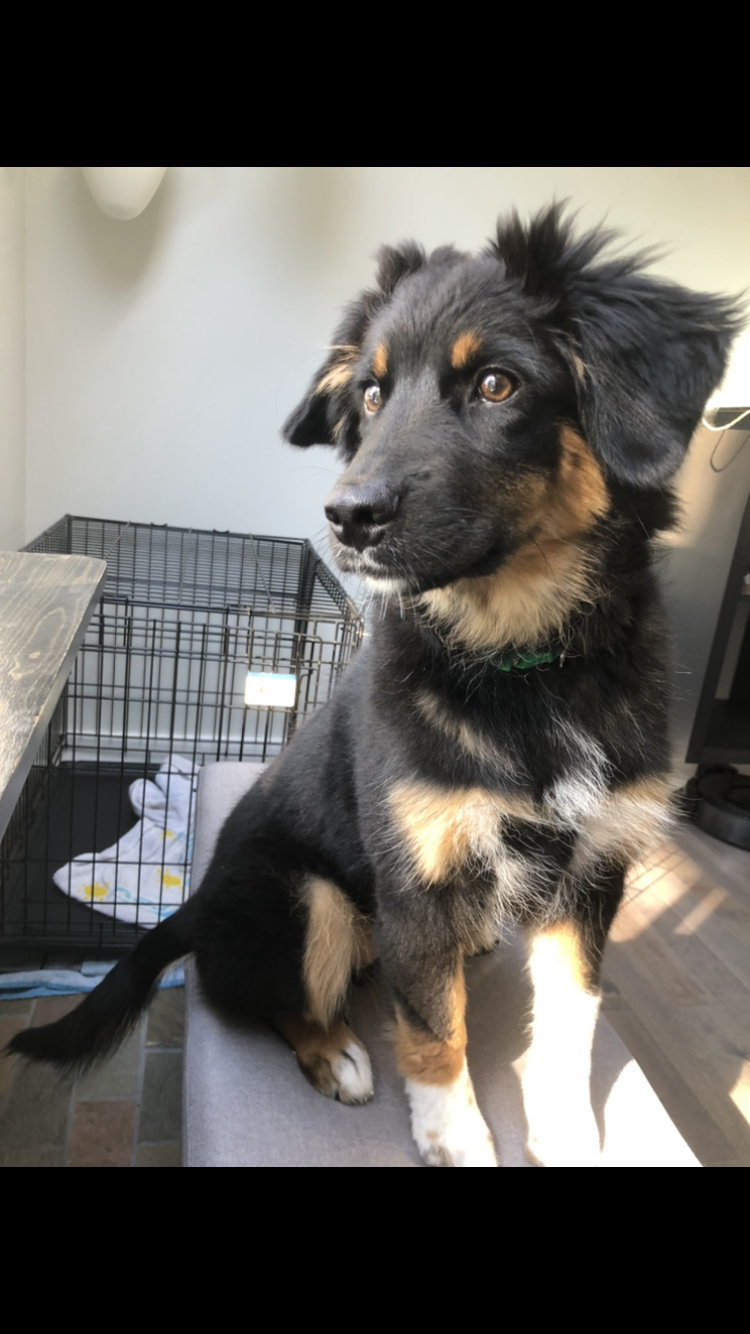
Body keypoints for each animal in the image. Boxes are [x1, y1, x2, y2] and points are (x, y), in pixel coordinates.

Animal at [9, 205, 742, 1166]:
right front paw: (453, 1134)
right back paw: (338, 1055)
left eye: (498, 385)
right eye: (369, 395)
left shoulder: (592, 870)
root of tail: (196, 904)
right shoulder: (416, 875)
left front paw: (566, 1131)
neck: (524, 659)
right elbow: (434, 1026)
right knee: (254, 995)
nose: (345, 518)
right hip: (304, 895)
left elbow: (574, 1017)